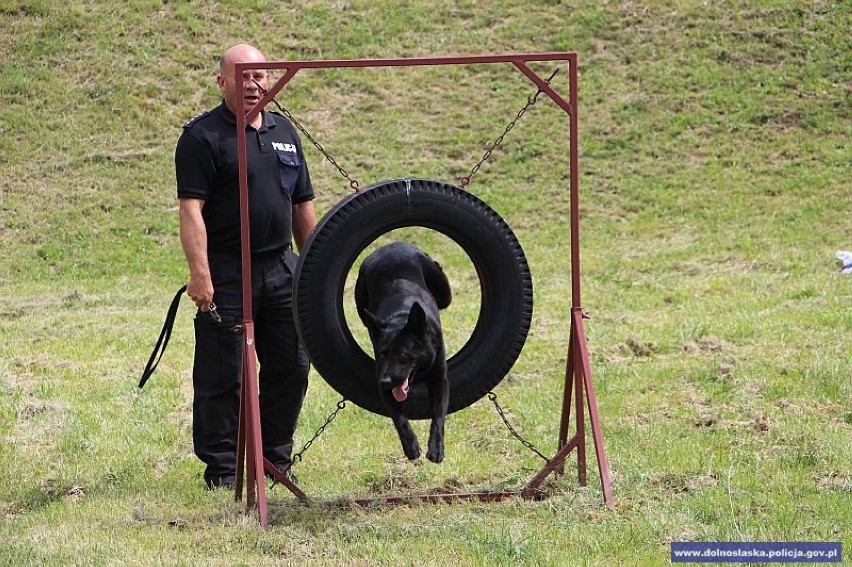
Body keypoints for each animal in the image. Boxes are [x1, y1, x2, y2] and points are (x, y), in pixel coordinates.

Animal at [352, 242, 452, 464]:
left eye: (403, 354)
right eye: (382, 354)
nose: (385, 381)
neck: (402, 317)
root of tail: (392, 245)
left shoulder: (440, 379)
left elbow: (438, 414)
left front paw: (436, 448)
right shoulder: (384, 384)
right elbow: (399, 417)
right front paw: (411, 446)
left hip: (444, 293)